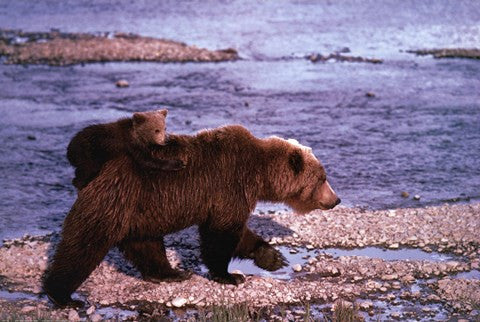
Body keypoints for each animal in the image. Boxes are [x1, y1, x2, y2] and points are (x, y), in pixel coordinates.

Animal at [43, 124, 340, 306]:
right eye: (322, 178)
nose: (336, 199)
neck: (259, 174)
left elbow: (239, 232)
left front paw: (273, 257)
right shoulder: (229, 185)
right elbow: (221, 234)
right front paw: (230, 276)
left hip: (140, 212)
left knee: (146, 245)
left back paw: (170, 273)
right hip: (115, 199)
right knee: (83, 245)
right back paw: (62, 295)